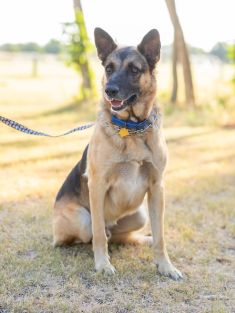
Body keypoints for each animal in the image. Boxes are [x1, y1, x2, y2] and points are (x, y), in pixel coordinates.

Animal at [52, 28, 183, 280]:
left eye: (134, 69)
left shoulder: (157, 187)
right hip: (82, 219)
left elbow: (160, 236)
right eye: (109, 68)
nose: (109, 90)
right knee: (89, 236)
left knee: (122, 236)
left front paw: (165, 266)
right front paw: (103, 265)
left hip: (140, 214)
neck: (131, 128)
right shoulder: (97, 185)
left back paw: (141, 239)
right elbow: (99, 236)